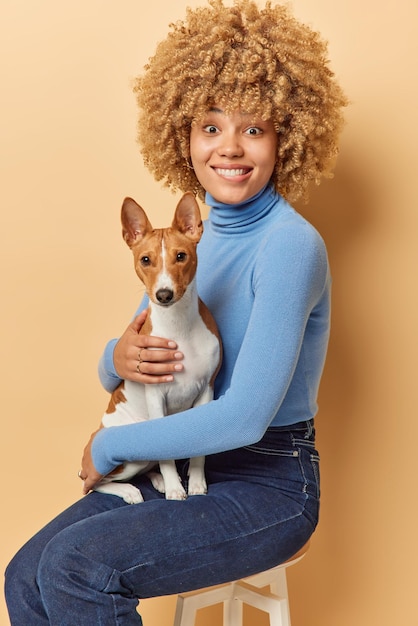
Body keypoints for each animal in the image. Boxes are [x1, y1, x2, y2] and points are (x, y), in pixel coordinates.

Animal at [93, 190, 224, 502]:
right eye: (145, 260)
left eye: (181, 256)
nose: (164, 294)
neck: (179, 326)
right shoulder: (156, 398)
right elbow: (167, 456)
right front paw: (176, 488)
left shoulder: (206, 390)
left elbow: (198, 451)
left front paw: (195, 483)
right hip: (129, 450)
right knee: (94, 482)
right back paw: (130, 490)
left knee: (147, 467)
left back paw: (157, 481)